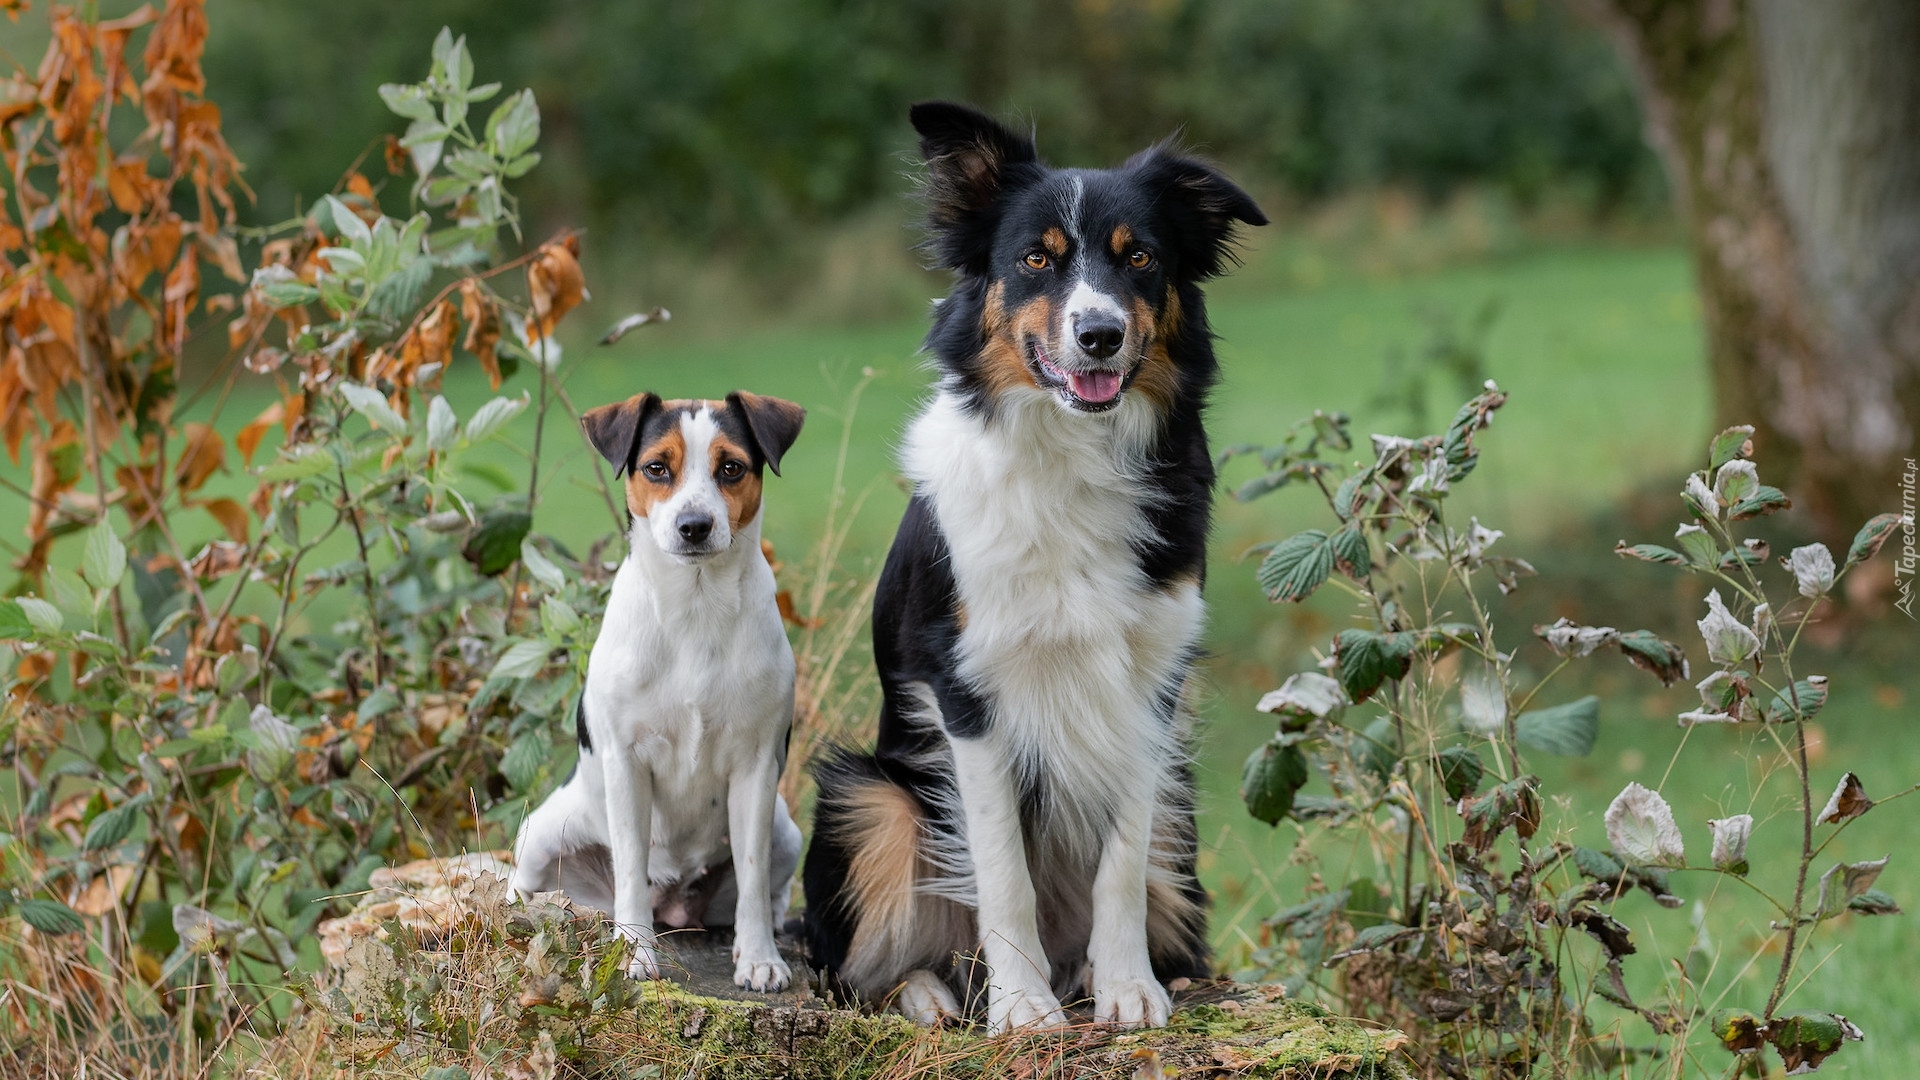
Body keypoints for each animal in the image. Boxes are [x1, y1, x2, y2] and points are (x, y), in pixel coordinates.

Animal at [510, 390, 802, 991]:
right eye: (656, 468)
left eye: (731, 468)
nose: (694, 525)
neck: (695, 608)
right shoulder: (627, 763)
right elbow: (629, 868)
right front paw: (634, 953)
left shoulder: (757, 767)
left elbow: (755, 876)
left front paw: (760, 958)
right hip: (541, 834)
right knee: (527, 887)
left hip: (787, 830)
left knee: (770, 888)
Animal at [802, 105, 1267, 1030]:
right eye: (1035, 259)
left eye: (1139, 257)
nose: (1100, 335)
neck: (1071, 455)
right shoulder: (967, 691)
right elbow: (1001, 869)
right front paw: (1021, 1011)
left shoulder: (1148, 689)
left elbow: (1119, 863)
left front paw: (1128, 988)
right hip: (867, 796)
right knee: (860, 968)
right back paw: (935, 995)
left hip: (1178, 800)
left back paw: (1091, 975)